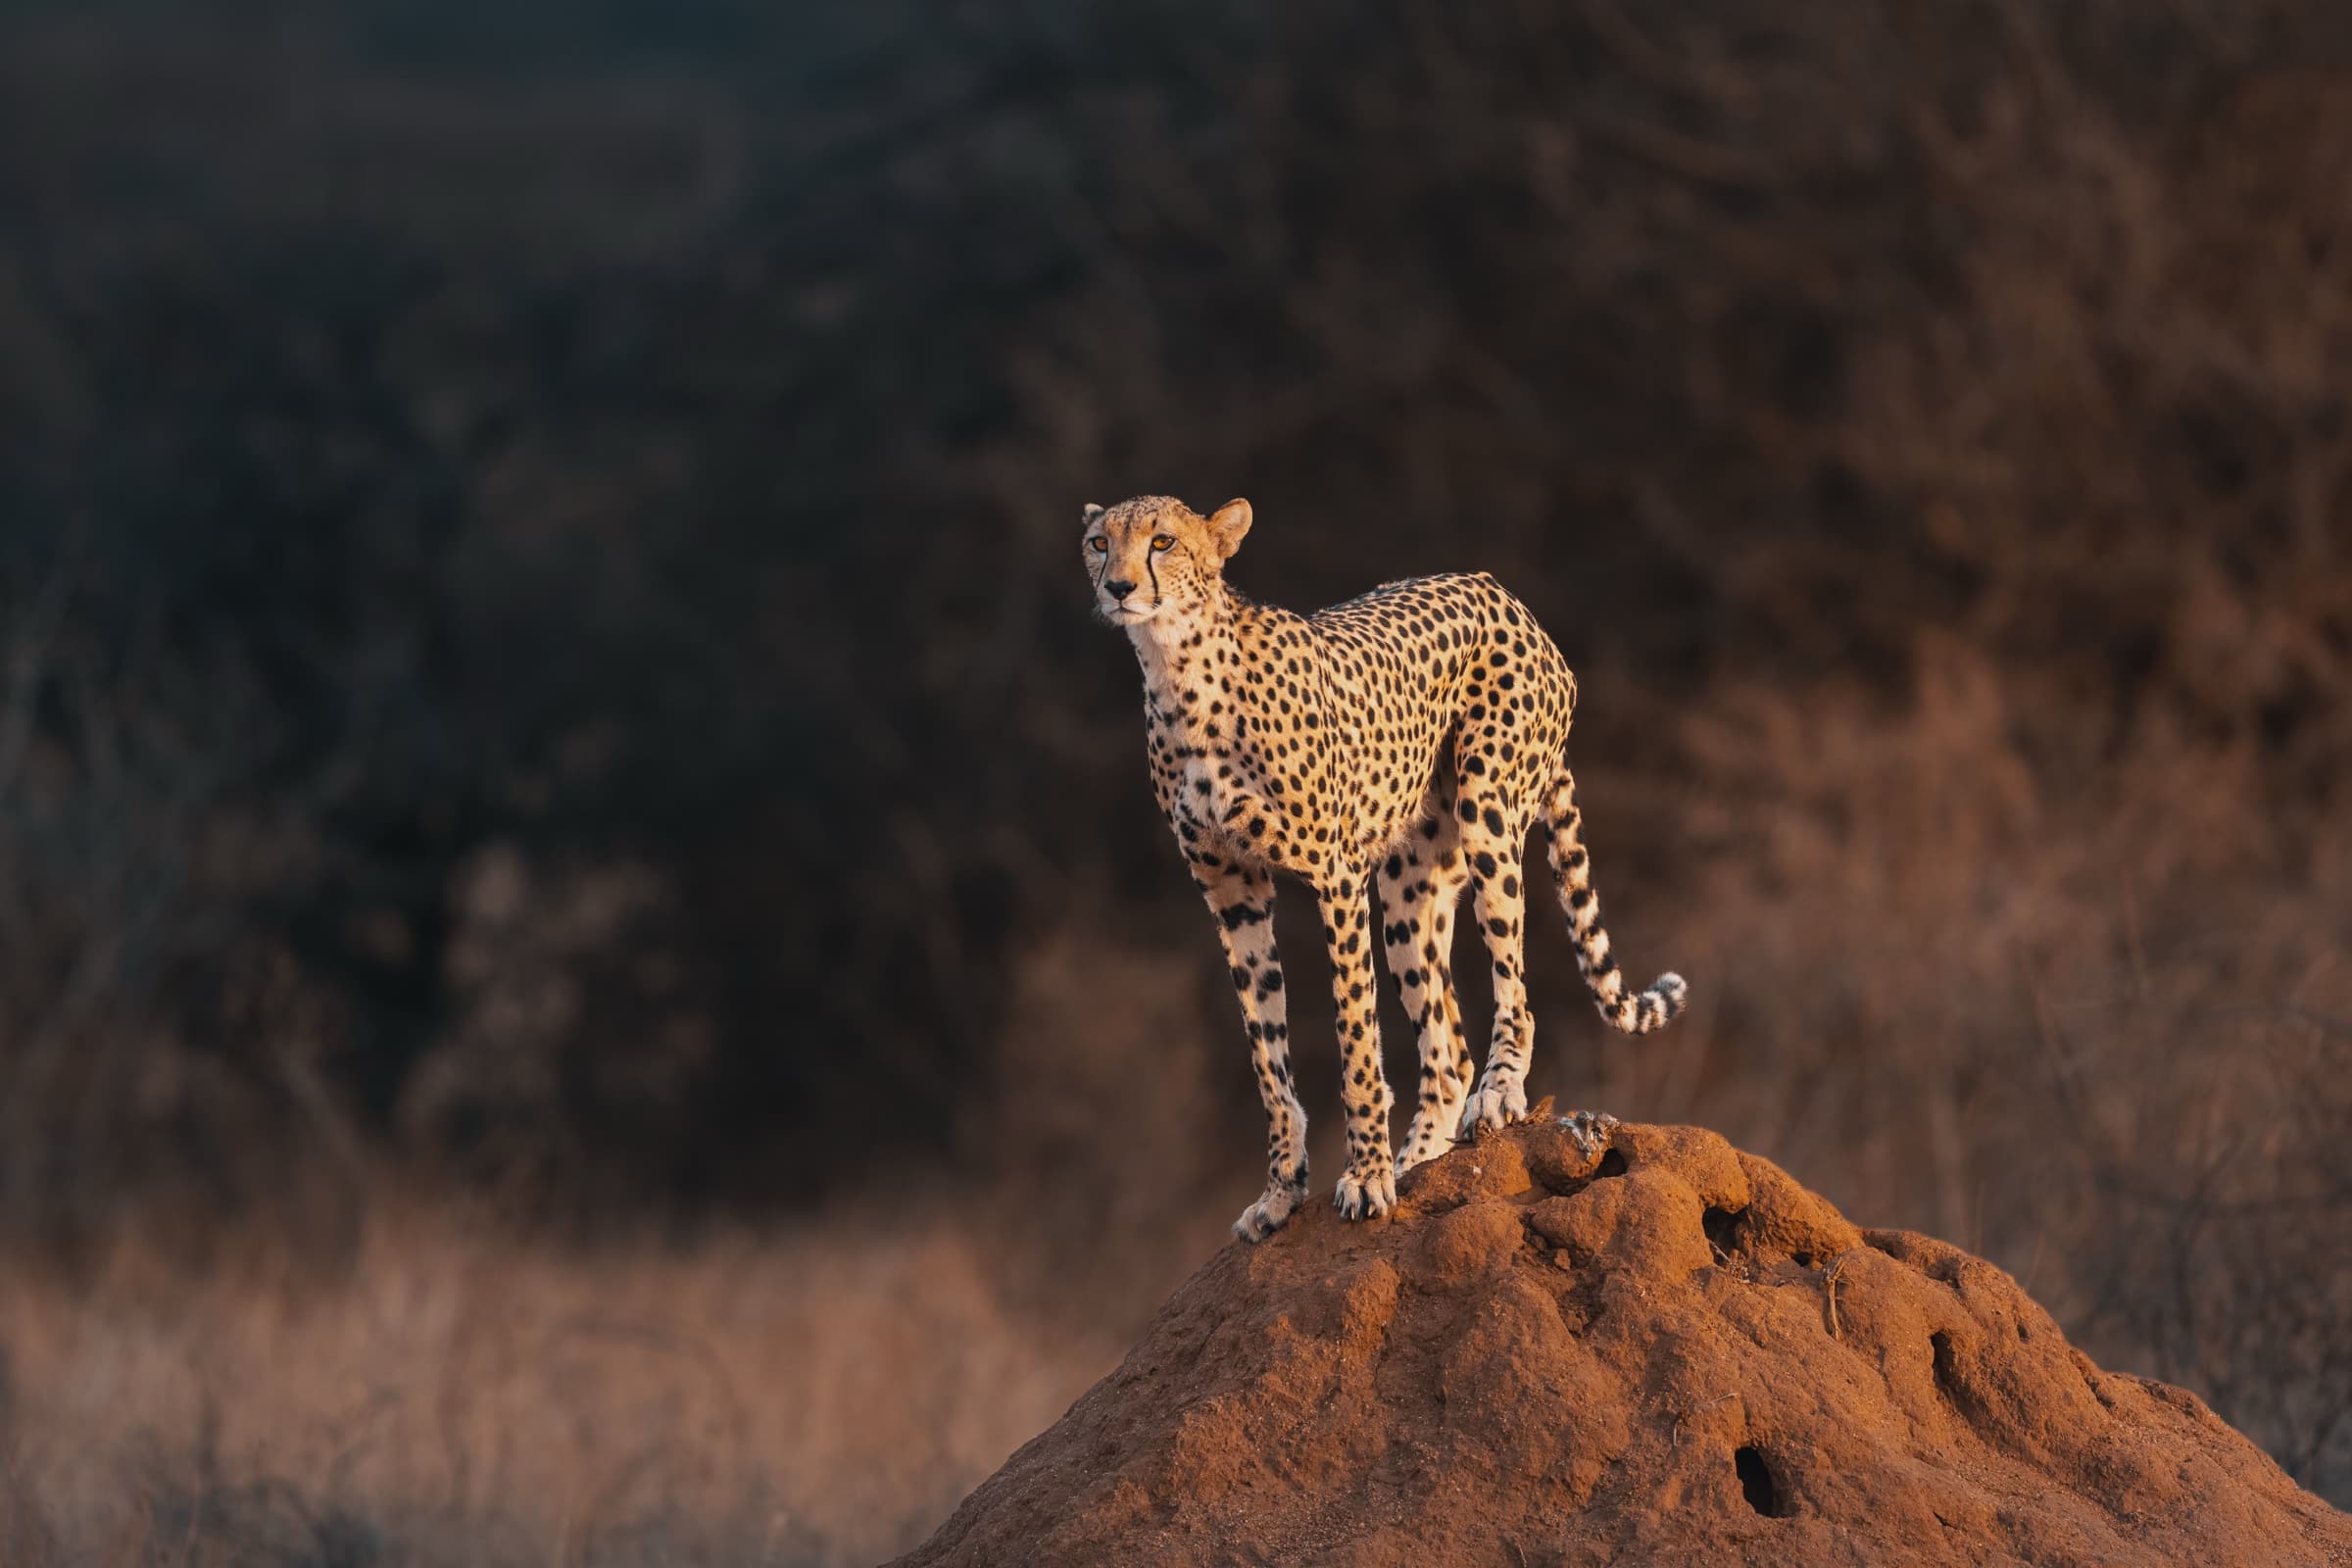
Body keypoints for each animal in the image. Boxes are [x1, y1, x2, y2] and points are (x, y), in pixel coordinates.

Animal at [1084, 494, 1689, 1242]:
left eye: (1162, 541)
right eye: (1099, 542)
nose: (1118, 587)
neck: (1178, 672)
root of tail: (1502, 593)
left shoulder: (1335, 876)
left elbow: (1355, 1037)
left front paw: (1365, 1177)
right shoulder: (1231, 892)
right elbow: (1267, 1054)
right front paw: (1282, 1191)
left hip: (1489, 810)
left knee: (1513, 991)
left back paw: (1497, 1095)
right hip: (1408, 886)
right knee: (1447, 1044)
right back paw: (1420, 1158)